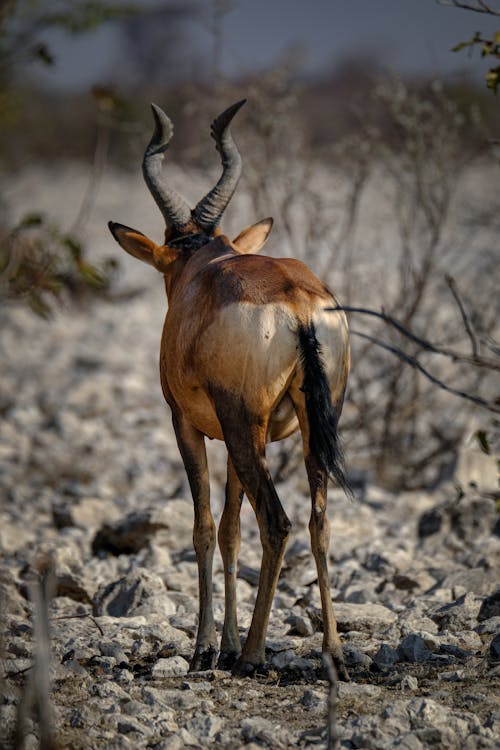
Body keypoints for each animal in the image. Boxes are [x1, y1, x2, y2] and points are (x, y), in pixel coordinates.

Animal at [108, 100, 352, 680]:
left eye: (168, 266)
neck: (207, 264)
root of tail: (297, 301)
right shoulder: (240, 431)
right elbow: (229, 529)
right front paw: (221, 643)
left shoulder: (190, 425)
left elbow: (202, 526)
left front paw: (204, 649)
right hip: (308, 425)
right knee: (318, 522)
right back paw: (332, 653)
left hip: (246, 427)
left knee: (278, 522)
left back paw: (254, 655)